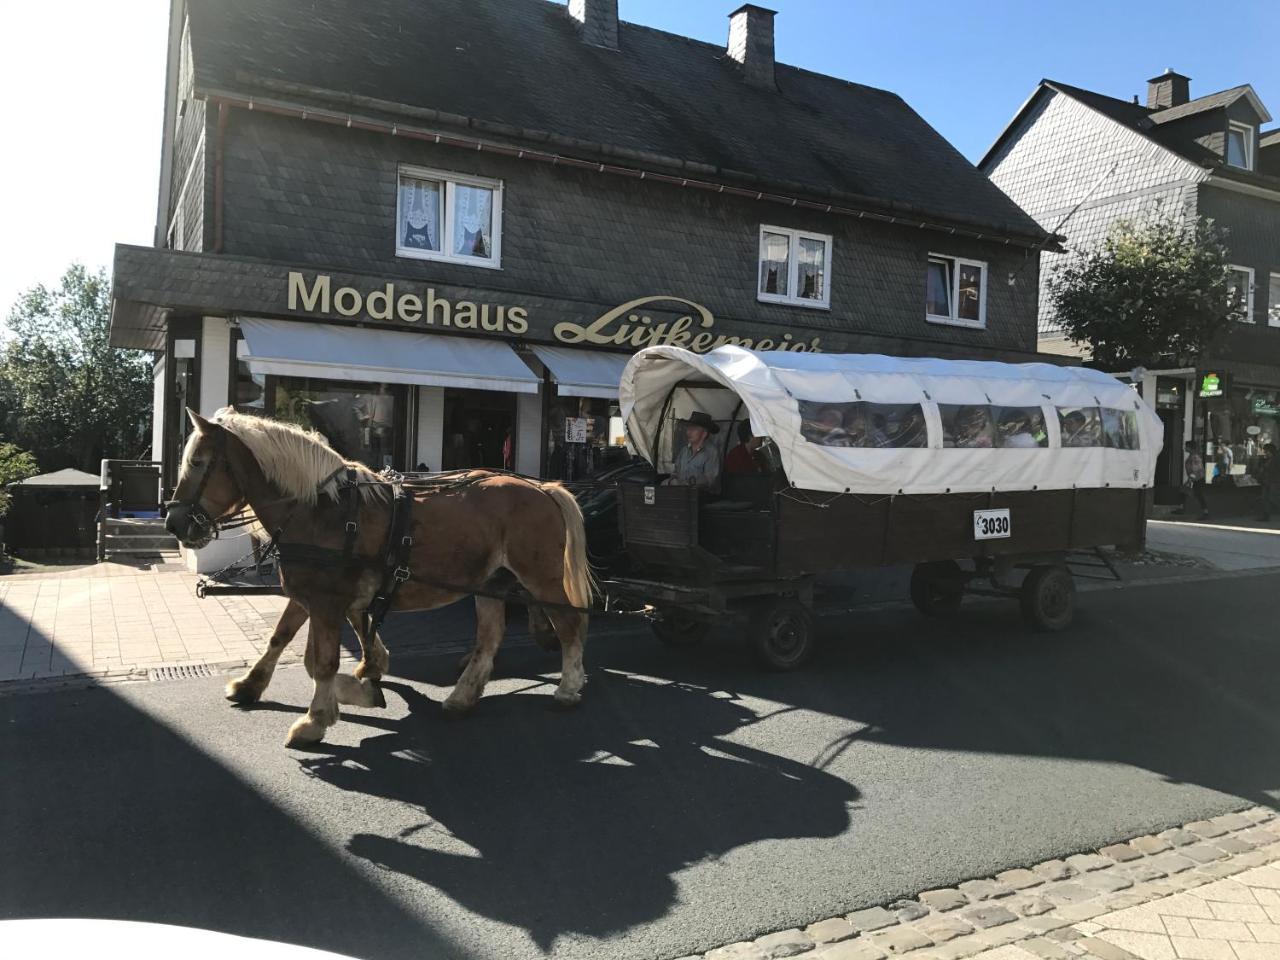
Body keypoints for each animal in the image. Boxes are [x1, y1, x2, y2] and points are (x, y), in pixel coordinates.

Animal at [163, 409, 593, 747]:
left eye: (198, 461)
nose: (174, 522)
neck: (321, 510)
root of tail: (544, 488)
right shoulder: (309, 595)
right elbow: (281, 639)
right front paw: (251, 685)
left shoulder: (327, 602)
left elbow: (322, 663)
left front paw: (317, 718)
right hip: (491, 582)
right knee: (490, 638)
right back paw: (462, 698)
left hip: (541, 579)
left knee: (570, 624)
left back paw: (568, 687)